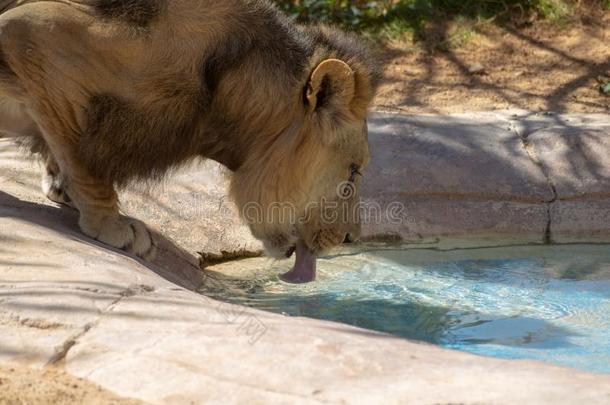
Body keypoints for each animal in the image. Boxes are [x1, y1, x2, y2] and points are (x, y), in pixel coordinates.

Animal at [0, 0, 378, 282]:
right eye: (353, 172)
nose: (351, 238)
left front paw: (62, 186)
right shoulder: (32, 29)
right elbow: (84, 161)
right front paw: (112, 222)